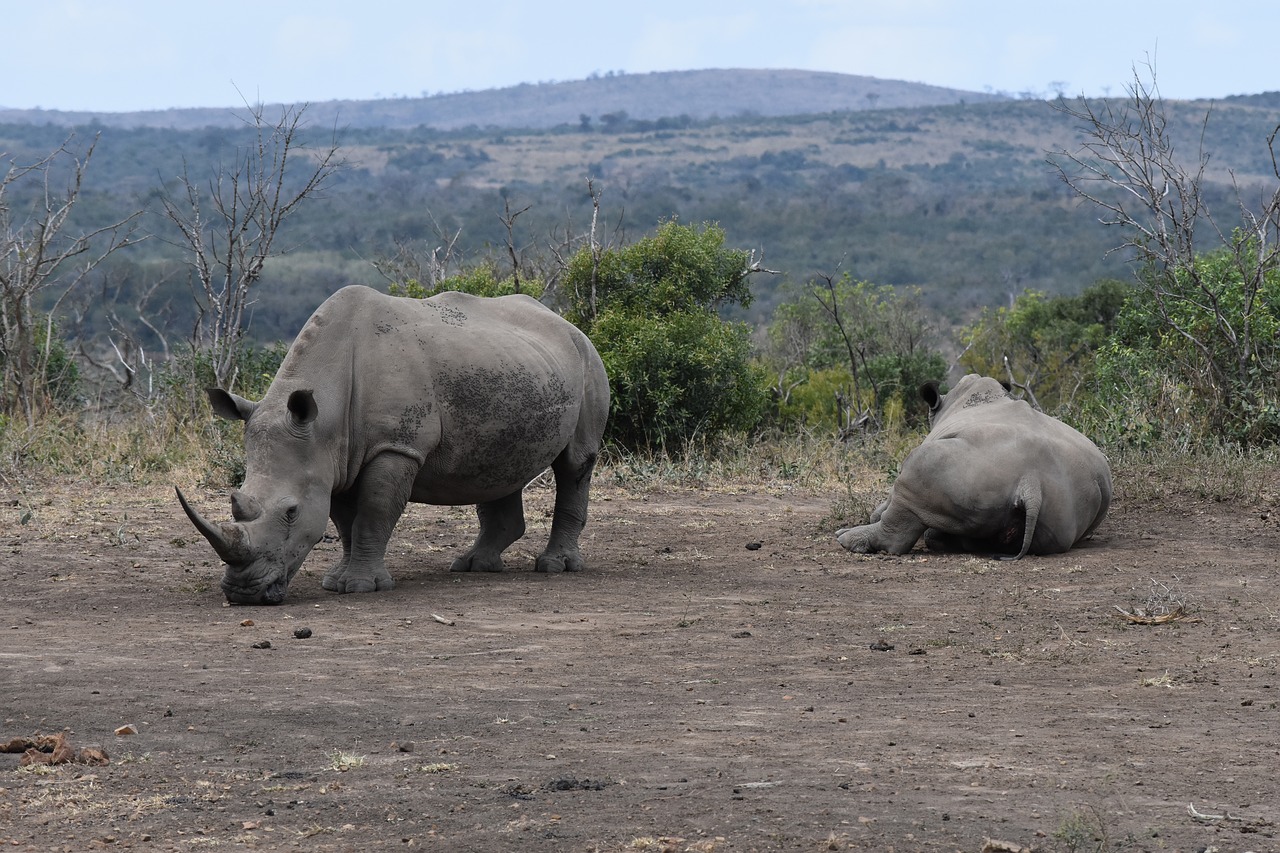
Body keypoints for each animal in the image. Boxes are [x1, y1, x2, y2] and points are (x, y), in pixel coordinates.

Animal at [175, 285, 609, 604]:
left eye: (291, 512)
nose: (242, 594)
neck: (324, 419)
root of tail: (567, 323)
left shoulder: (396, 446)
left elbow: (373, 512)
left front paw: (361, 588)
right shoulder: (337, 459)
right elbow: (344, 521)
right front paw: (336, 581)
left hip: (589, 360)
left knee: (575, 464)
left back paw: (555, 567)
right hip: (517, 369)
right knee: (499, 466)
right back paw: (472, 565)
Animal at [839, 373, 1111, 558]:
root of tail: (1032, 483)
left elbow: (890, 498)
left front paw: (875, 515)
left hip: (963, 469)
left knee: (918, 468)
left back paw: (846, 539)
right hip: (1068, 503)